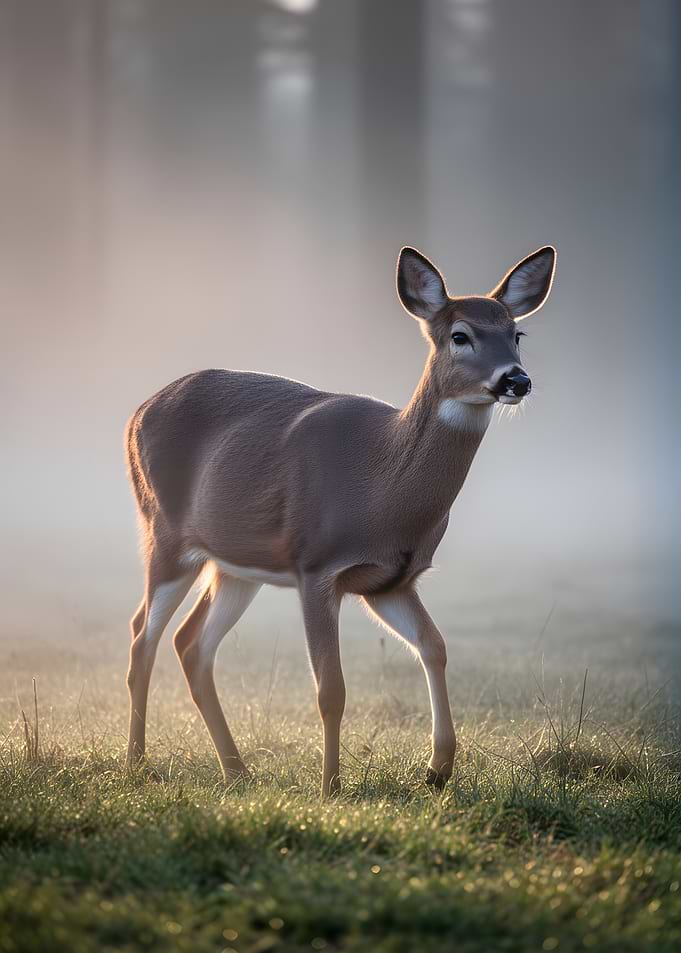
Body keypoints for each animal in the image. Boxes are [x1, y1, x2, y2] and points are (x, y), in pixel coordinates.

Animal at [125, 244, 556, 796]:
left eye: (516, 334)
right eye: (460, 335)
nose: (515, 380)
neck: (383, 493)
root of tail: (135, 414)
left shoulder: (391, 581)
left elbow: (435, 647)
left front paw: (438, 768)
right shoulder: (317, 567)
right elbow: (331, 688)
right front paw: (330, 786)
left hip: (235, 566)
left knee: (191, 643)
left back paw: (237, 770)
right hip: (165, 533)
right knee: (142, 636)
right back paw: (137, 764)